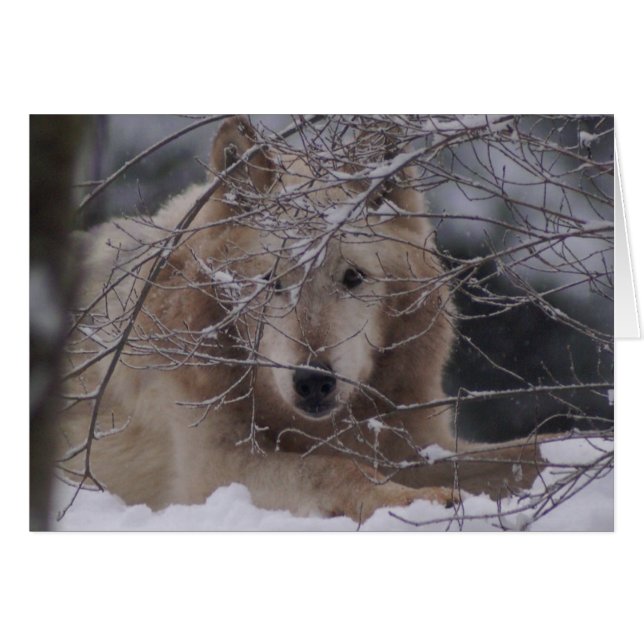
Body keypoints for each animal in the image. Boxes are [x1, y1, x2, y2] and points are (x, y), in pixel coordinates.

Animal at [58, 116, 547, 523]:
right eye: (272, 280)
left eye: (353, 276)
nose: (313, 380)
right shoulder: (211, 471)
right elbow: (333, 468)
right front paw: (418, 501)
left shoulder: (419, 446)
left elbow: (536, 449)